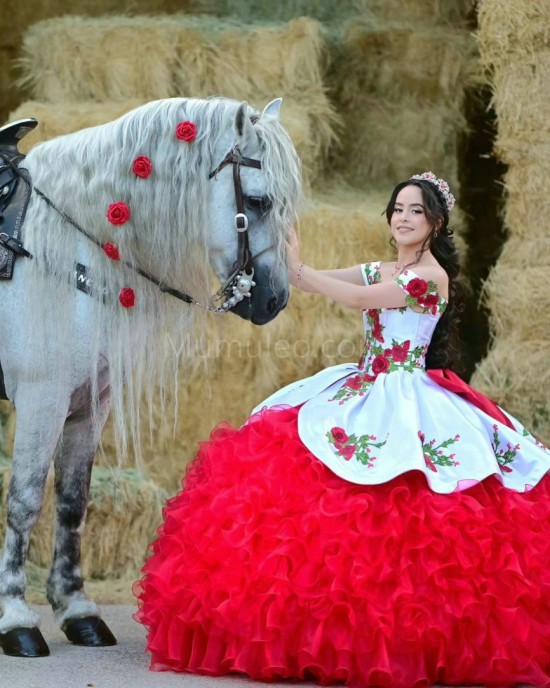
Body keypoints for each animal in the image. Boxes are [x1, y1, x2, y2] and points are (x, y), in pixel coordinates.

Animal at [0, 95, 302, 656]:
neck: (61, 250)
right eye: (259, 201)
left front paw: (77, 610)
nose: (274, 300)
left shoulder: (87, 404)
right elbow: (25, 503)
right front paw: (16, 618)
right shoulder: (41, 399)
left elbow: (72, 502)